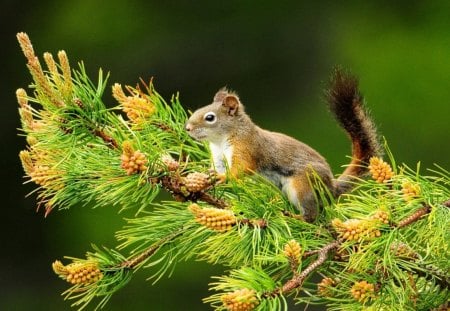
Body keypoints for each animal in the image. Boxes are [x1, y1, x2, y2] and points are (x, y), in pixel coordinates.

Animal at [185, 69, 380, 223]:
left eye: (210, 117)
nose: (187, 128)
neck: (221, 140)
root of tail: (331, 187)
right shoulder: (218, 156)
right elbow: (217, 168)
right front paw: (207, 177)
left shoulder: (246, 147)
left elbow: (242, 167)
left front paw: (224, 177)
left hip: (303, 185)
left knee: (311, 215)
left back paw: (295, 217)